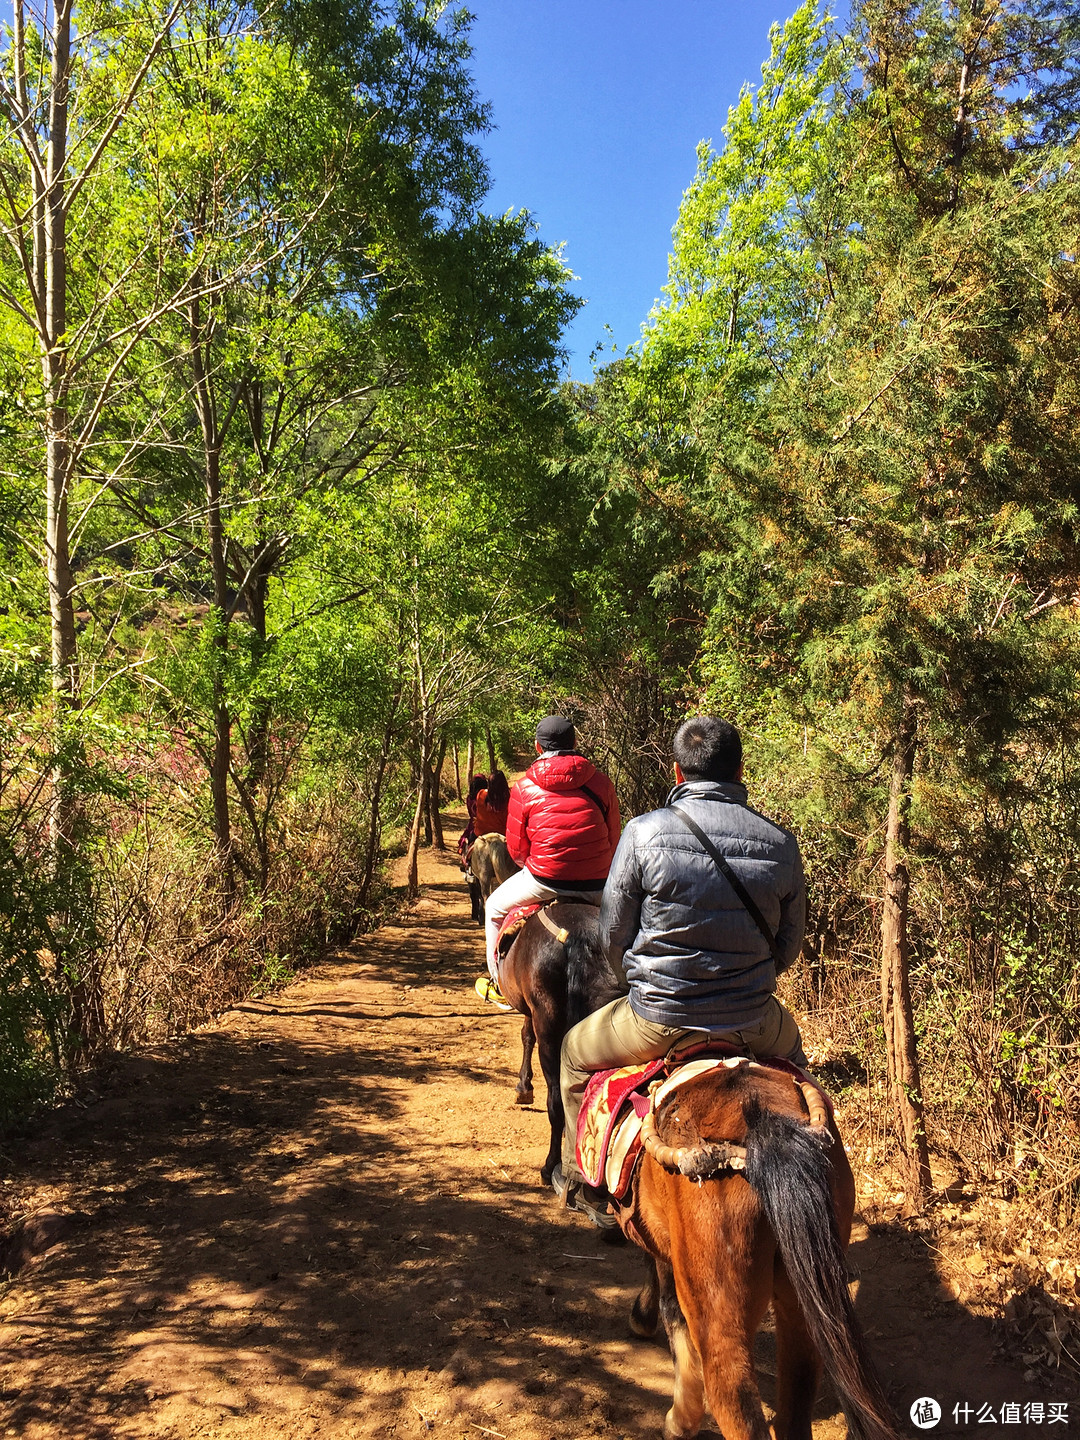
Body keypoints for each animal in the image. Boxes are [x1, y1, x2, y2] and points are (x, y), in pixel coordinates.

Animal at [498, 904, 622, 1186]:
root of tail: (577, 936)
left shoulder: (532, 1011)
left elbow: (526, 1035)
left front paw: (523, 1087)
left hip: (550, 1031)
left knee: (556, 1101)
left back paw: (550, 1167)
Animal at [622, 1059, 898, 1440]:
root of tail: (765, 1126)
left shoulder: (666, 1256)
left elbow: (672, 1314)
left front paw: (679, 1422)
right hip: (802, 1297)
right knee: (797, 1396)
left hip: (718, 1306)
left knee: (733, 1399)